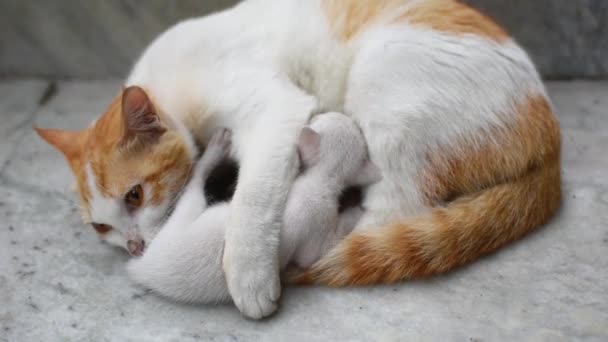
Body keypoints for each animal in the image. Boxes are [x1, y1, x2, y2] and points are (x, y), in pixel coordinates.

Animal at [36, 0, 560, 320]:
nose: (133, 247)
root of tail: (550, 135)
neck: (171, 84)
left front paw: (248, 274)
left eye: (135, 194)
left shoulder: (277, 111)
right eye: (100, 227)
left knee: (397, 210)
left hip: (384, 82)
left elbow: (253, 201)